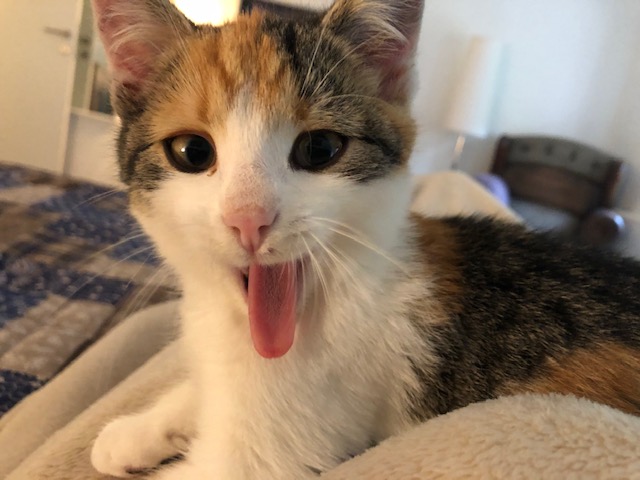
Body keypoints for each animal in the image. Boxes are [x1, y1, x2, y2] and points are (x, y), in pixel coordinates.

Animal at [89, 0, 640, 478]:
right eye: (192, 151)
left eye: (320, 148)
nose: (249, 219)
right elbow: (204, 386)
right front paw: (139, 429)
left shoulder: (267, 457)